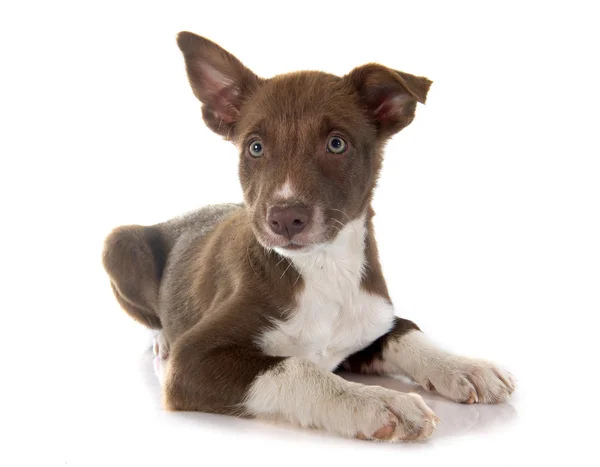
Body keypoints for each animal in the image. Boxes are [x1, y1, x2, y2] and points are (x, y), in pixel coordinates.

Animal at [103, 33, 516, 442]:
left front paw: (463, 366)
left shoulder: (371, 317)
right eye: (255, 147)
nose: (285, 218)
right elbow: (295, 368)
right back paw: (161, 336)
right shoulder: (191, 361)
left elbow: (405, 331)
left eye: (336, 144)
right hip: (118, 243)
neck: (323, 266)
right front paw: (377, 402)